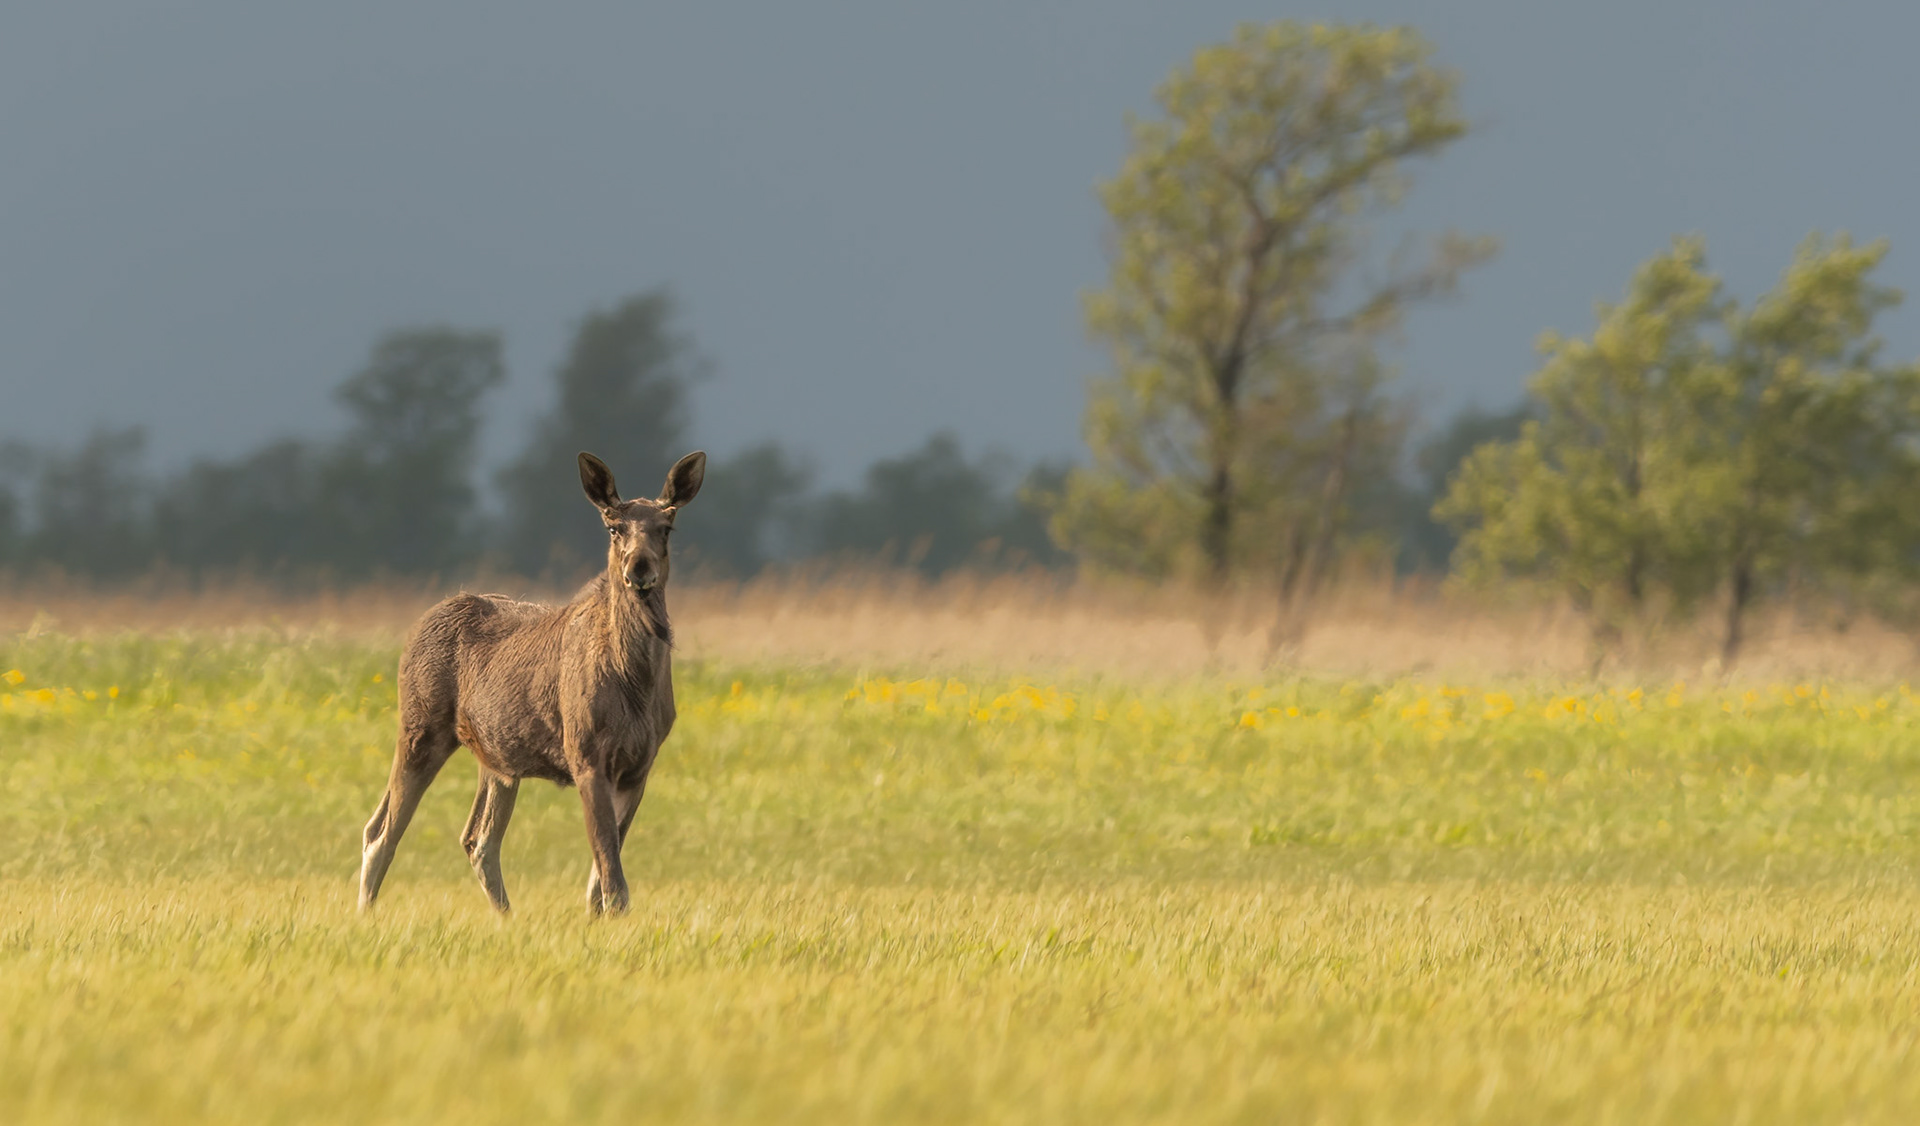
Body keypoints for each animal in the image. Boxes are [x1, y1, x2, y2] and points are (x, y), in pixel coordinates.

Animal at [356, 449, 705, 915]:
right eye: (613, 527)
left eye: (667, 527)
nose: (639, 567)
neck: (636, 682)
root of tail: (419, 626)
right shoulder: (586, 754)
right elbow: (612, 877)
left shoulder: (639, 766)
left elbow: (600, 878)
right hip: (420, 727)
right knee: (382, 833)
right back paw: (366, 914)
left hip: (496, 759)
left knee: (477, 840)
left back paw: (507, 916)